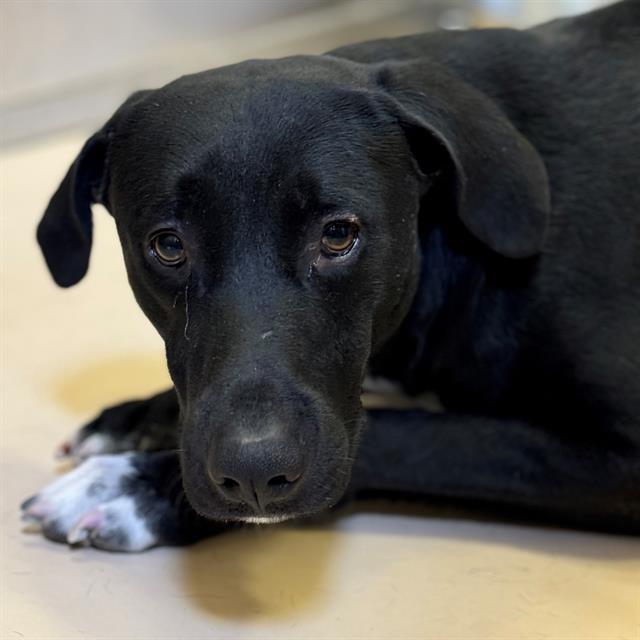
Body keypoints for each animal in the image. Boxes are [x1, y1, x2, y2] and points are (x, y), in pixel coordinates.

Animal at [22, 0, 636, 552]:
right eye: (168, 245)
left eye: (338, 235)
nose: (252, 472)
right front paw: (140, 417)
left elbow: (407, 436)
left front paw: (139, 487)